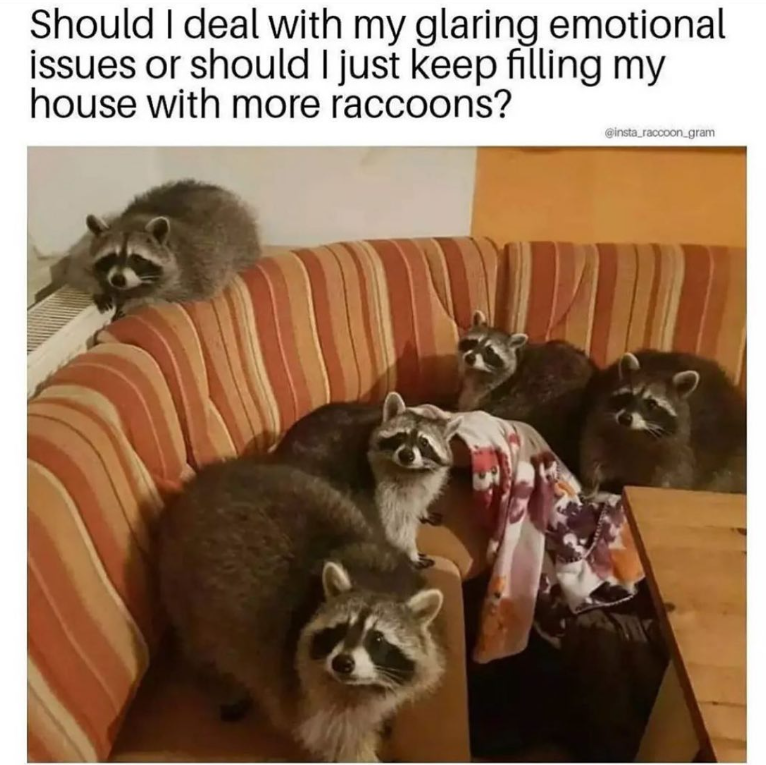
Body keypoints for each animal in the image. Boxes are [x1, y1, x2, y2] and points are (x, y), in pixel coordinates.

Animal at [66, 179, 261, 314]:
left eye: (137, 259)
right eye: (110, 256)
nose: (118, 280)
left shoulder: (193, 271)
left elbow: (182, 294)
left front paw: (141, 300)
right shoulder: (86, 252)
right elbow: (75, 270)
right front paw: (97, 287)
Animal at [159, 459, 445, 763]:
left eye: (377, 638)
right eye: (339, 630)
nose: (342, 663)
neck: (376, 582)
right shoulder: (307, 681)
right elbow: (336, 736)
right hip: (183, 587)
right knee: (202, 645)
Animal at [274, 392, 460, 568]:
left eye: (424, 442)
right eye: (400, 437)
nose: (406, 455)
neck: (411, 471)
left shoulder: (430, 477)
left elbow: (424, 493)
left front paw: (422, 510)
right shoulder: (383, 479)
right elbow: (396, 521)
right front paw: (409, 550)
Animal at [456, 309, 596, 473]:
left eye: (489, 352)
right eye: (472, 342)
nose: (470, 358)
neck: (477, 373)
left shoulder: (497, 390)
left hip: (544, 391)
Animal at [580, 350, 746, 494]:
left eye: (651, 404)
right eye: (627, 396)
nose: (625, 418)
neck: (636, 434)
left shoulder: (678, 450)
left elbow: (672, 479)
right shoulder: (602, 425)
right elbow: (594, 457)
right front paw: (591, 487)